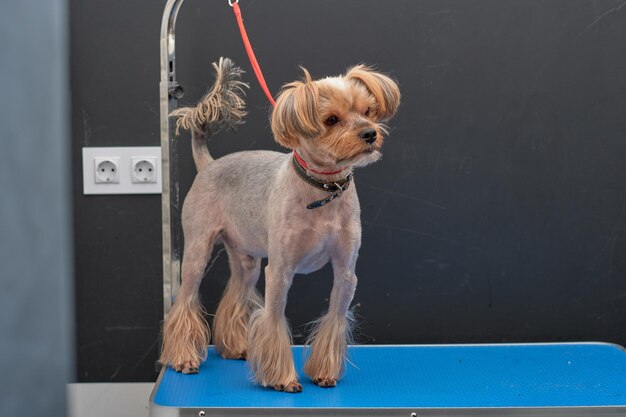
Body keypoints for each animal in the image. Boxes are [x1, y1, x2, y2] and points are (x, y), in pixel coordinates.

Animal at [158, 57, 398, 392]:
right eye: (331, 119)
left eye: (368, 111)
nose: (370, 134)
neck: (324, 188)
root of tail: (209, 164)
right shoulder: (281, 270)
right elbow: (273, 320)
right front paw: (282, 378)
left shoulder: (346, 272)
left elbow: (335, 318)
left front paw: (325, 371)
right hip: (196, 251)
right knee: (184, 301)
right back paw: (183, 357)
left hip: (246, 257)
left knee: (236, 293)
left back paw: (235, 346)